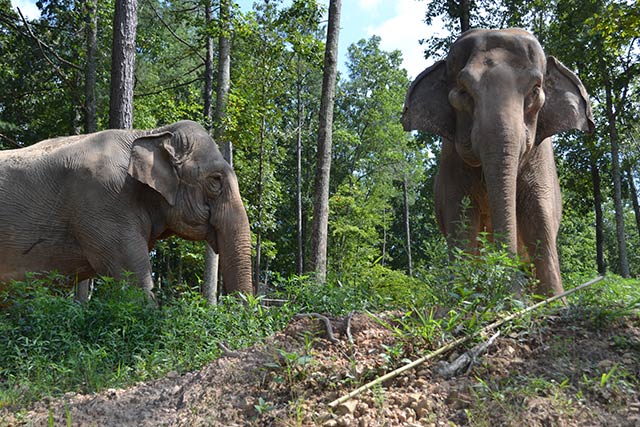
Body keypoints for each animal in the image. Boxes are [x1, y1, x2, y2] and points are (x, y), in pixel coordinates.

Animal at [404, 29, 596, 298]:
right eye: (463, 92)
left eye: (535, 90)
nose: (509, 283)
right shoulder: (451, 160)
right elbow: (460, 217)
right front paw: (459, 300)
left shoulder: (540, 156)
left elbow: (539, 213)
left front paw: (556, 301)